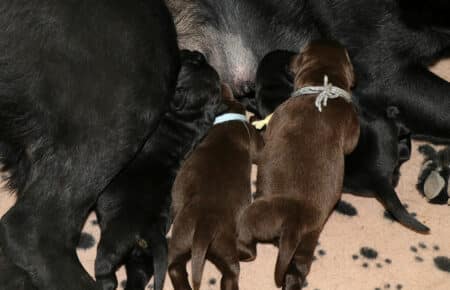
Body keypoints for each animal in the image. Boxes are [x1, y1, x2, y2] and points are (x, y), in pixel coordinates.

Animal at [96, 51, 227, 290]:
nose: (197, 53)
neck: (187, 116)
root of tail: (150, 230)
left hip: (117, 237)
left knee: (106, 266)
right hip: (141, 255)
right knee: (139, 272)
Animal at [253, 49, 428, 231]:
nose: (289, 51)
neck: (275, 89)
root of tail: (379, 177)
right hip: (381, 127)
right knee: (402, 138)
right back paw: (396, 118)